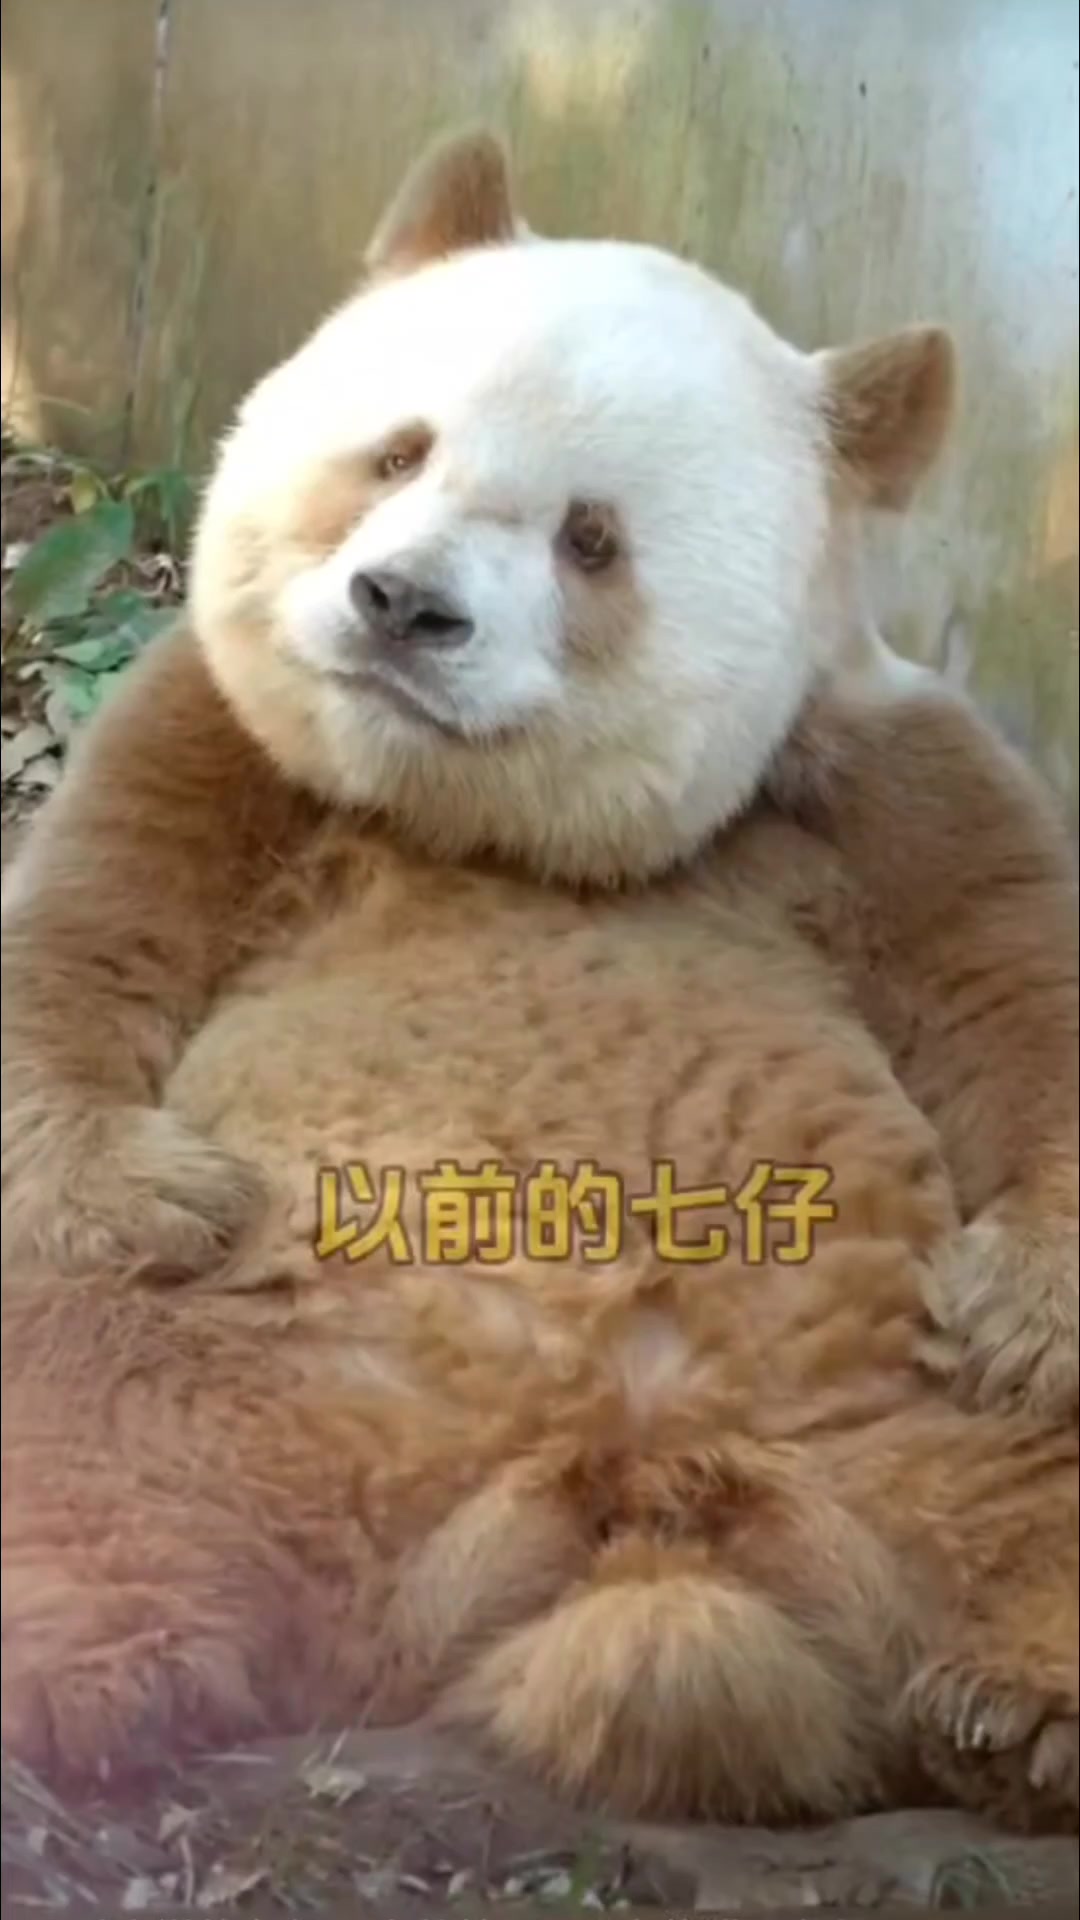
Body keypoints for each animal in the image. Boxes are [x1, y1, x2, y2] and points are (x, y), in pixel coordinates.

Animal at [1, 130, 1077, 1831]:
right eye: (398, 453)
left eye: (591, 538)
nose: (402, 606)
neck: (488, 823)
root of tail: (610, 1510)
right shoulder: (232, 740)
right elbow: (94, 929)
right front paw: (147, 1189)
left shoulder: (877, 781)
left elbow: (1016, 996)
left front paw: (1027, 1308)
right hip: (232, 1362)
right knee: (73, 1422)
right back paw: (82, 1662)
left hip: (914, 1431)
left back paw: (1024, 1713)